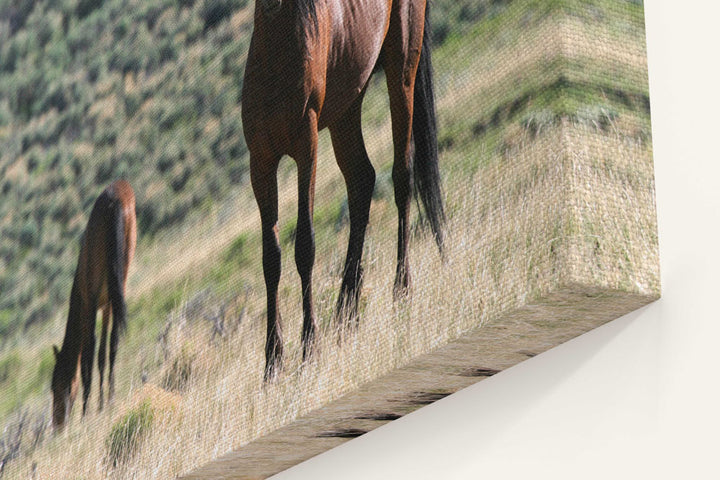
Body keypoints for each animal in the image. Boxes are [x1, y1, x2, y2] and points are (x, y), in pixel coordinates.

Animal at [51, 181, 137, 432]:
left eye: (57, 385)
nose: (57, 425)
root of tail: (118, 196)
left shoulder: (90, 306)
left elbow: (87, 357)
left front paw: (87, 411)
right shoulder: (107, 305)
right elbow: (103, 353)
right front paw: (104, 403)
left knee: (92, 349)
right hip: (121, 283)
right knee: (114, 343)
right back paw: (110, 397)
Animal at [242, 0, 444, 378]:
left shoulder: (306, 148)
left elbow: (304, 246)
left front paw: (309, 347)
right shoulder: (260, 162)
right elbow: (270, 258)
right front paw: (272, 363)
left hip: (401, 72)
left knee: (402, 176)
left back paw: (401, 290)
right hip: (347, 107)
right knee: (362, 181)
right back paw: (346, 315)